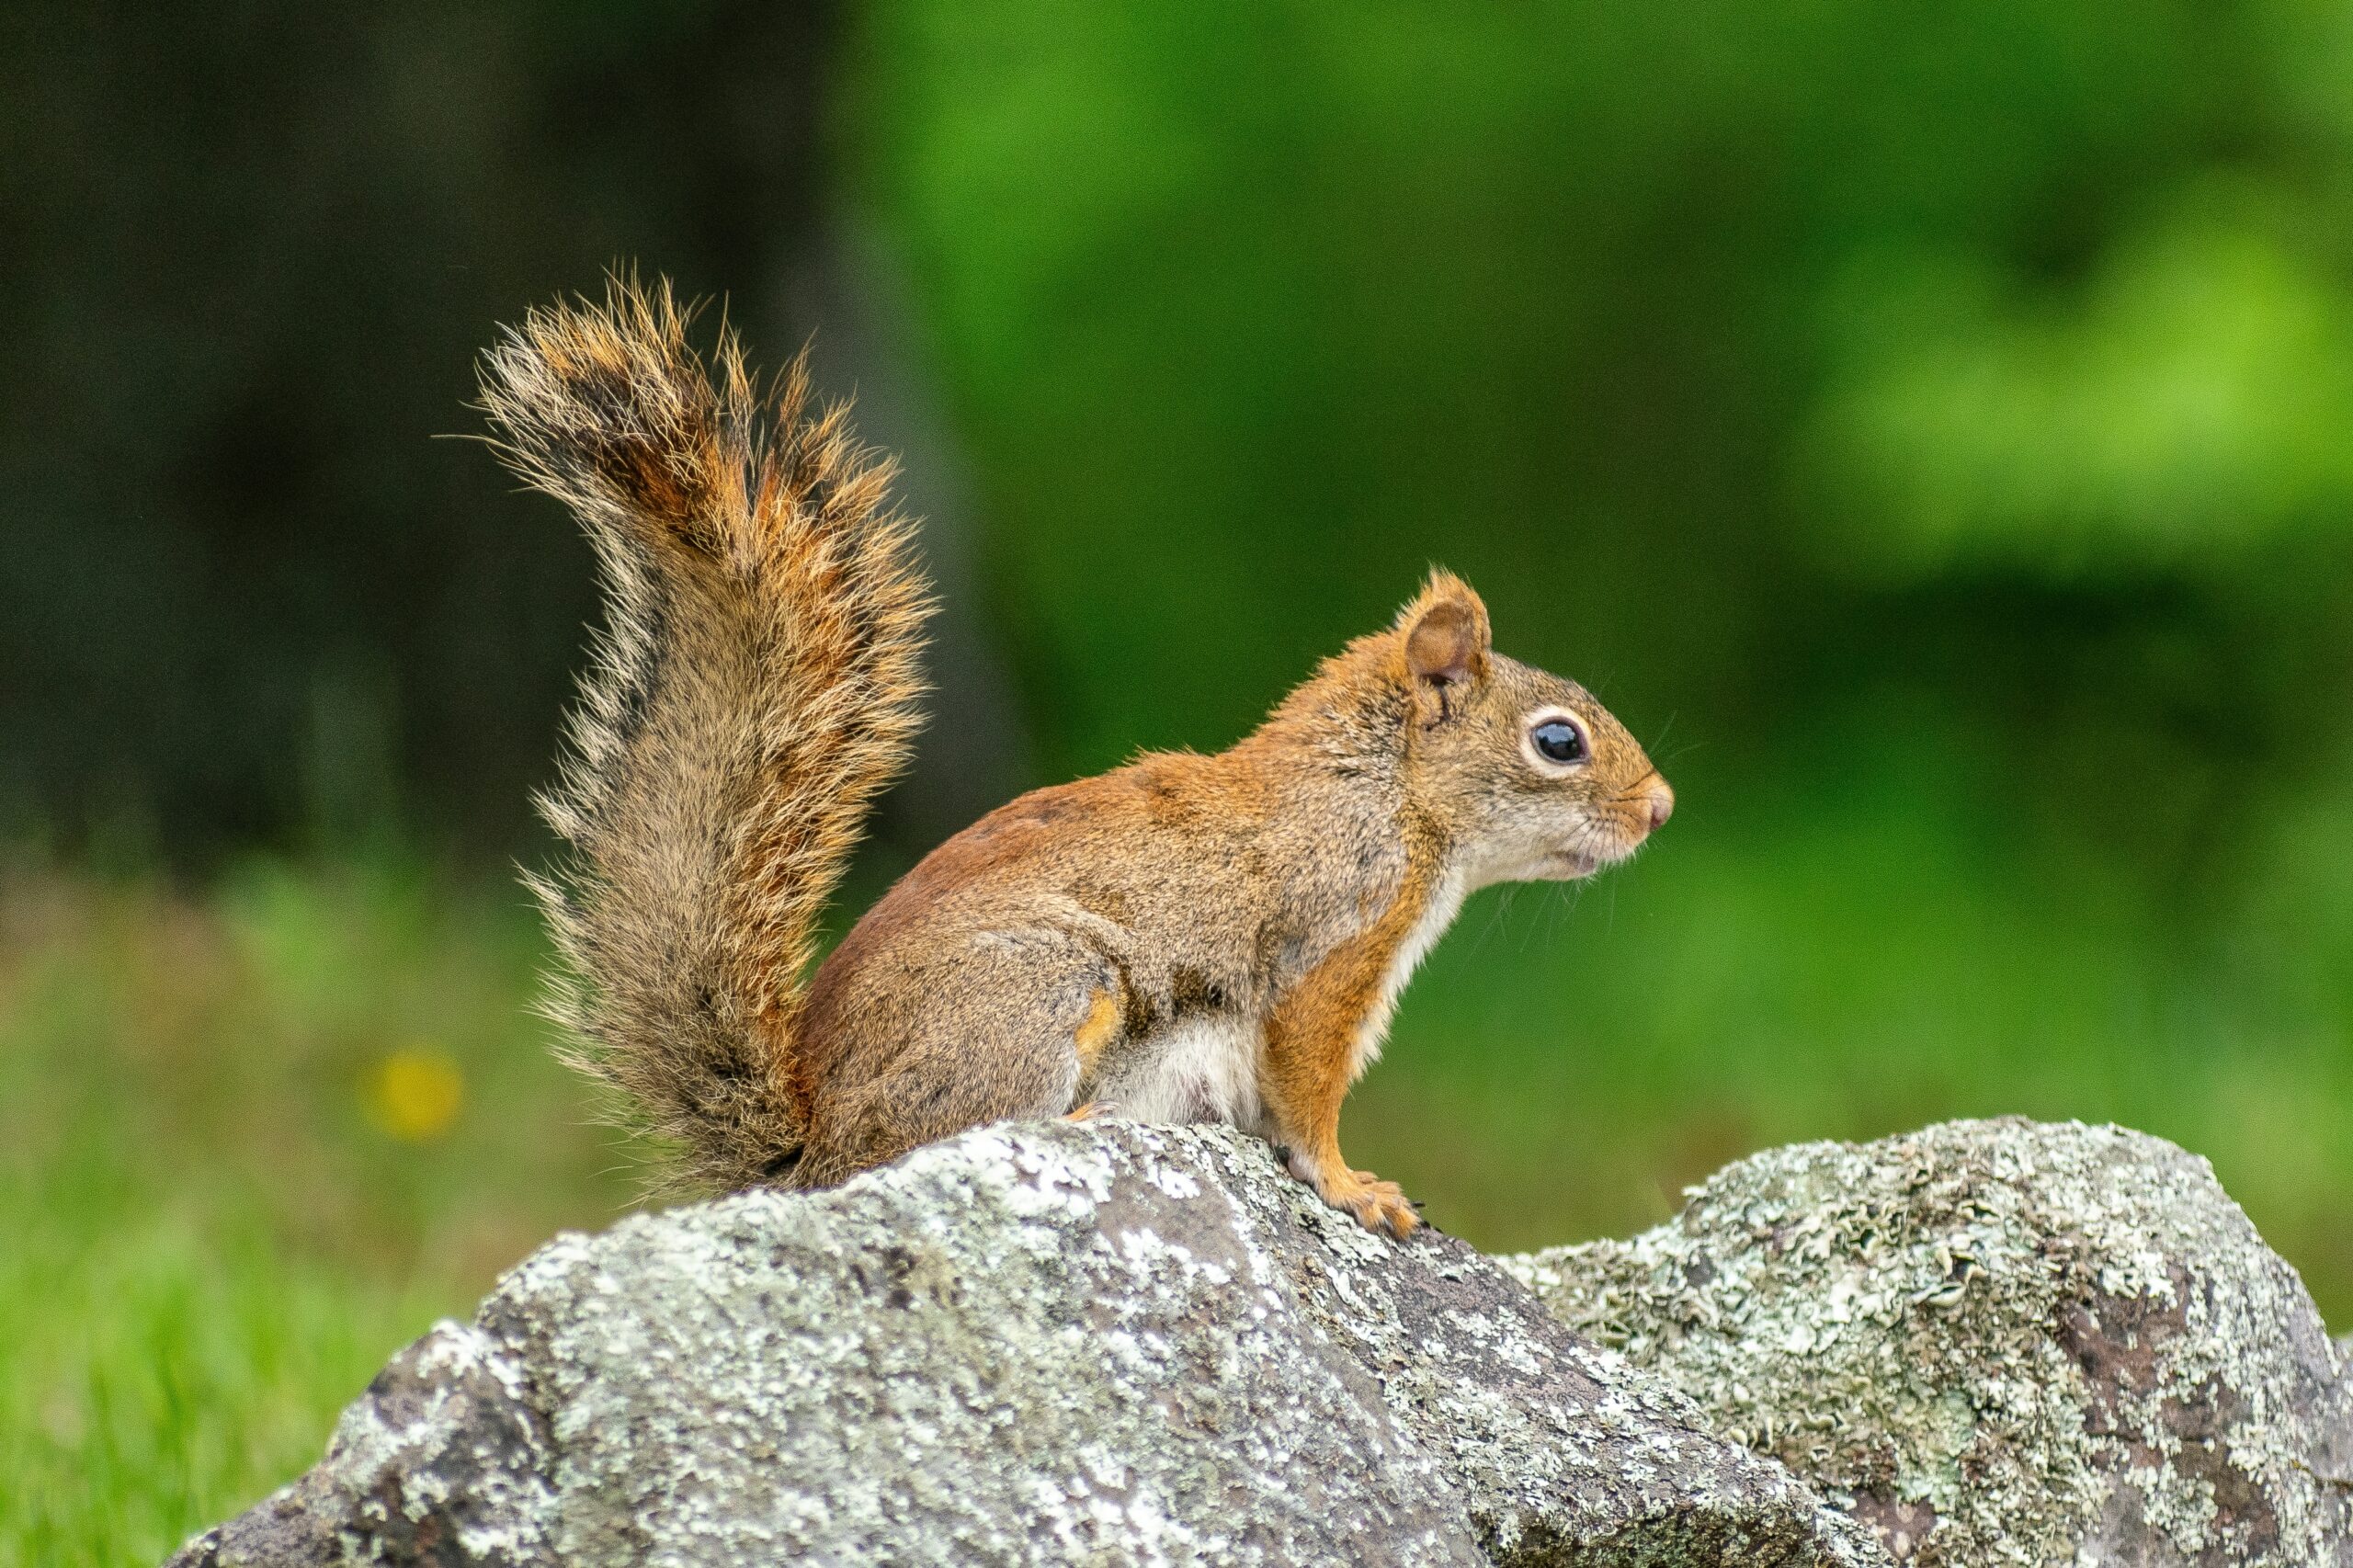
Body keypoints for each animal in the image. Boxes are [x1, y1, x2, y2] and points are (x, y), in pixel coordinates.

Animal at [478, 278, 1673, 1237]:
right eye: (1557, 740)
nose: (1660, 808)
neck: (1383, 790)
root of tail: (812, 1151)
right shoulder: (1326, 946)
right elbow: (1306, 1094)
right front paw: (1353, 1186)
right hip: (1039, 990)